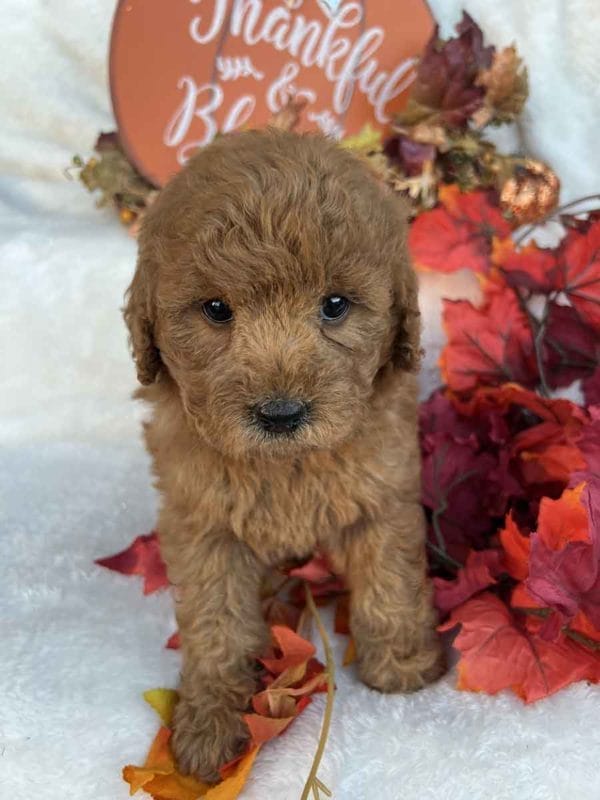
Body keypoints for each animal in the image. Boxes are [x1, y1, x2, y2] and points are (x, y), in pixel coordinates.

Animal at [124, 128, 446, 780]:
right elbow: (217, 623)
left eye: (335, 305)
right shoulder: (202, 524)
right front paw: (208, 725)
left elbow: (391, 579)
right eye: (216, 310)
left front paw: (401, 666)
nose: (280, 414)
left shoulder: (384, 490)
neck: (285, 463)